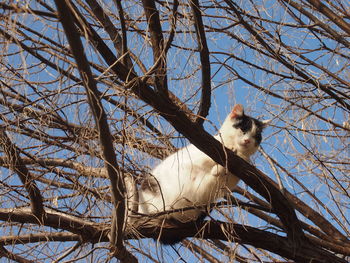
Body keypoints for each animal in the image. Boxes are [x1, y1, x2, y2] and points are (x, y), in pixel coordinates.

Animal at [129, 104, 268, 243]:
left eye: (256, 136)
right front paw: (227, 157)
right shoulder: (198, 155)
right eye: (243, 129)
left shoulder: (230, 180)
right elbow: (212, 159)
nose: (247, 140)